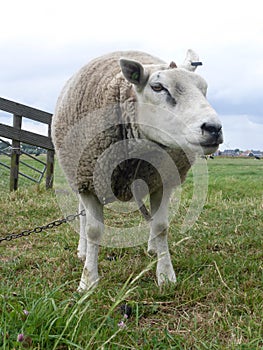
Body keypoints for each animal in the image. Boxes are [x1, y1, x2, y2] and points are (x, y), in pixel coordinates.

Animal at [52, 48, 225, 290]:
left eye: (204, 89)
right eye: (158, 87)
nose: (213, 128)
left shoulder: (162, 180)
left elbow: (161, 225)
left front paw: (165, 275)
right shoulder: (88, 182)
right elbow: (93, 230)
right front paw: (88, 282)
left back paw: (152, 247)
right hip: (78, 175)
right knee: (83, 216)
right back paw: (83, 251)